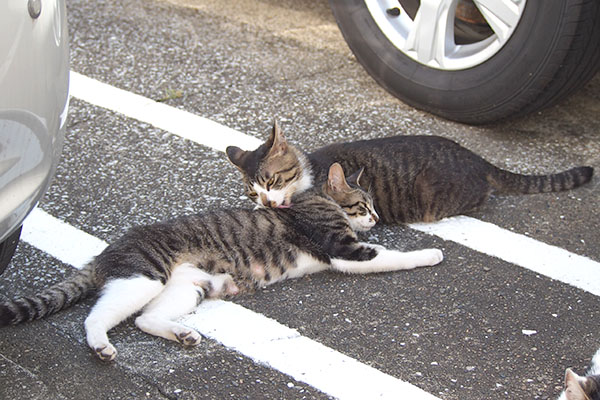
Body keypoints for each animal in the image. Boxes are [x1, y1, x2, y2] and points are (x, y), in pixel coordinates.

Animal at [0, 164, 440, 360]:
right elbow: (391, 257)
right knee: (95, 316)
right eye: (363, 205)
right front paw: (431, 254)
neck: (313, 200)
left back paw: (182, 335)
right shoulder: (344, 249)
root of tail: (109, 249)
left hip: (189, 287)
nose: (377, 219)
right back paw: (101, 345)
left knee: (145, 319)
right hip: (144, 276)